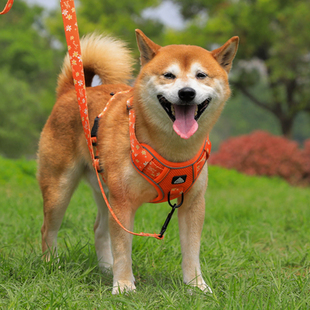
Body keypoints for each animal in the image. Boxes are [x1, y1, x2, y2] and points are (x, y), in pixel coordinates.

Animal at [37, 30, 239, 294]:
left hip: (106, 192)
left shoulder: (193, 203)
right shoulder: (123, 203)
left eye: (201, 75)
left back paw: (106, 268)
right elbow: (123, 248)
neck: (172, 149)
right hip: (60, 189)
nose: (186, 93)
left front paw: (196, 286)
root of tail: (71, 91)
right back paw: (52, 264)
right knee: (48, 230)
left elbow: (192, 251)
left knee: (99, 229)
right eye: (169, 75)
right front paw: (123, 286)